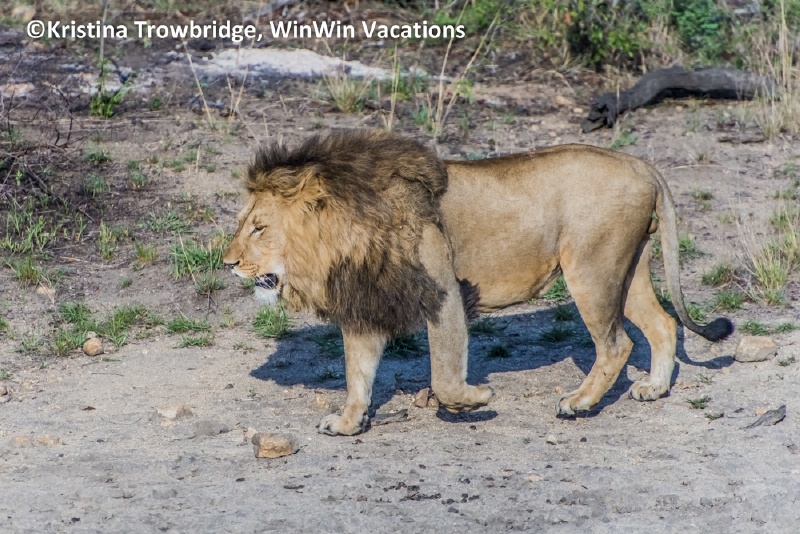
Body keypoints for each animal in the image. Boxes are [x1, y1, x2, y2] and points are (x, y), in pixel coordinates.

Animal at [223, 130, 733, 436]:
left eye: (259, 228)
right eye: (244, 224)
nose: (228, 263)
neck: (340, 239)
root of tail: (640, 164)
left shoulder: (442, 290)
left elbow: (444, 373)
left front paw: (477, 398)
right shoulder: (368, 306)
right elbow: (357, 373)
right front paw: (348, 423)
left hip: (591, 270)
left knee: (616, 344)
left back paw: (579, 402)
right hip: (628, 269)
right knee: (663, 324)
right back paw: (654, 388)